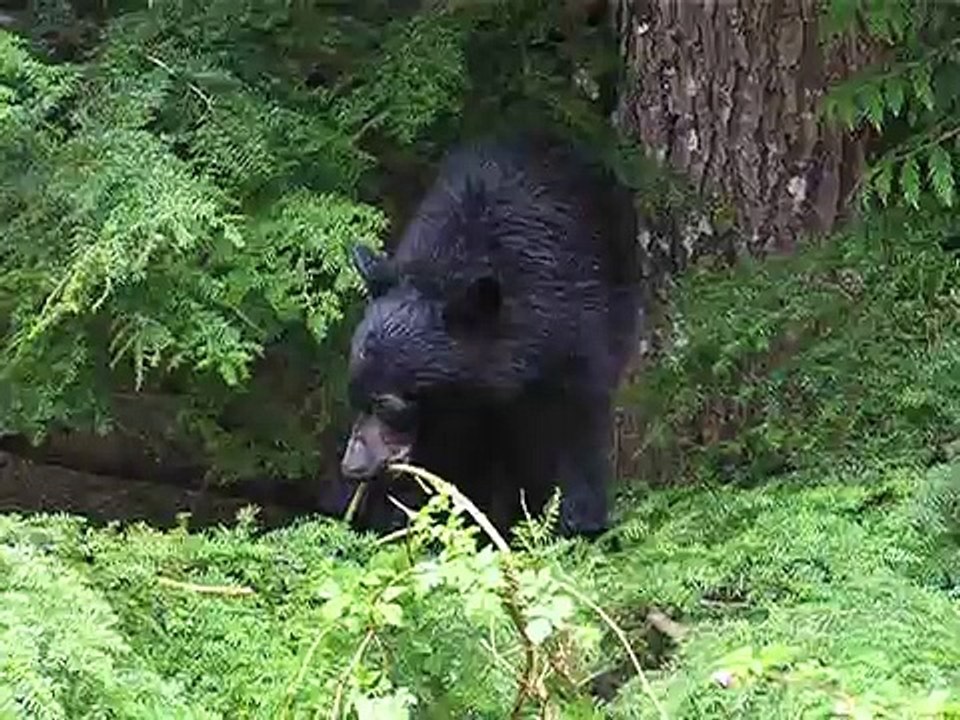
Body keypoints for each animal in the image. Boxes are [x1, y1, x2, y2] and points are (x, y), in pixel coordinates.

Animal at [338, 132, 642, 538]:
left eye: (387, 404)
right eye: (355, 397)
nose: (352, 466)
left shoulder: (574, 334)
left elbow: (576, 430)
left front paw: (578, 521)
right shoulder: (451, 416)